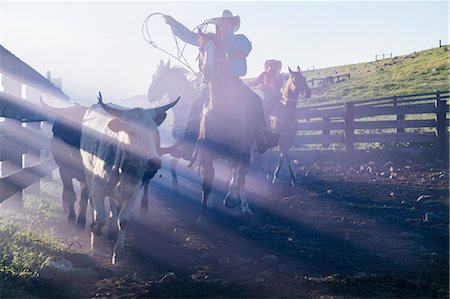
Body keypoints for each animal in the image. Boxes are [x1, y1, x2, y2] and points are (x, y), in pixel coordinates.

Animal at [196, 29, 258, 223]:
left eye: (220, 49)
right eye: (201, 48)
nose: (207, 72)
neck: (223, 109)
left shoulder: (239, 150)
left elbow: (236, 176)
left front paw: (231, 199)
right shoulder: (207, 152)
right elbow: (208, 181)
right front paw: (202, 215)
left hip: (247, 154)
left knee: (242, 178)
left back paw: (244, 205)